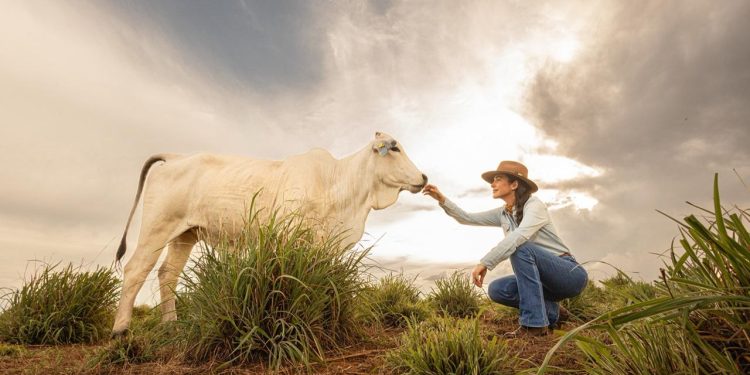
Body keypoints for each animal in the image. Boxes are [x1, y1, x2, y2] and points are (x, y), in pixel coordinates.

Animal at [111, 133, 428, 338]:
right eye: (395, 149)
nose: (424, 177)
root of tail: (175, 157)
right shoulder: (290, 236)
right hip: (157, 226)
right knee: (137, 269)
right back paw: (120, 331)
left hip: (185, 234)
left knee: (168, 274)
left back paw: (171, 326)